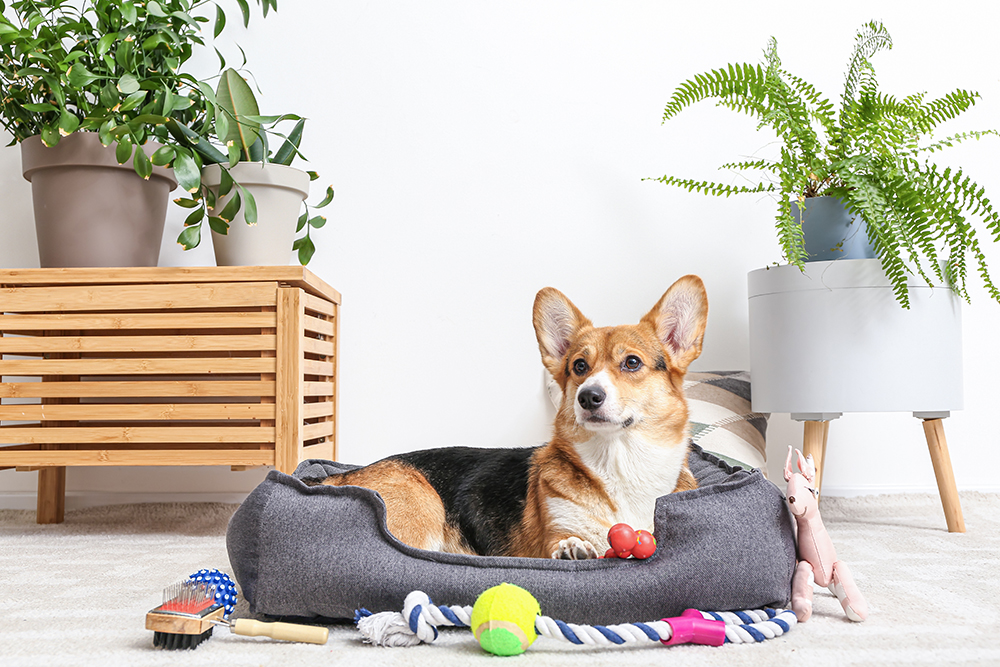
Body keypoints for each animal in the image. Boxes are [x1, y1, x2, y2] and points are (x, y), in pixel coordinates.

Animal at [308, 274, 708, 560]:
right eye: (579, 366)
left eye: (632, 363)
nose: (588, 397)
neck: (621, 461)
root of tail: (343, 477)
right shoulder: (557, 531)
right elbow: (568, 541)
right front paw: (574, 549)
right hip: (420, 511)